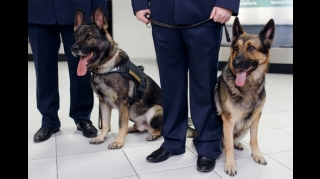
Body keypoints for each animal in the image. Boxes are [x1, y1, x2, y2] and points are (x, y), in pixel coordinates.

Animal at [215, 17, 278, 176]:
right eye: (236, 48)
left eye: (251, 48)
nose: (235, 63)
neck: (247, 87)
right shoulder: (228, 121)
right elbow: (228, 146)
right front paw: (230, 165)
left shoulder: (256, 118)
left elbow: (254, 139)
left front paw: (257, 155)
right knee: (225, 142)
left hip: (245, 126)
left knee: (235, 138)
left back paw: (237, 143)